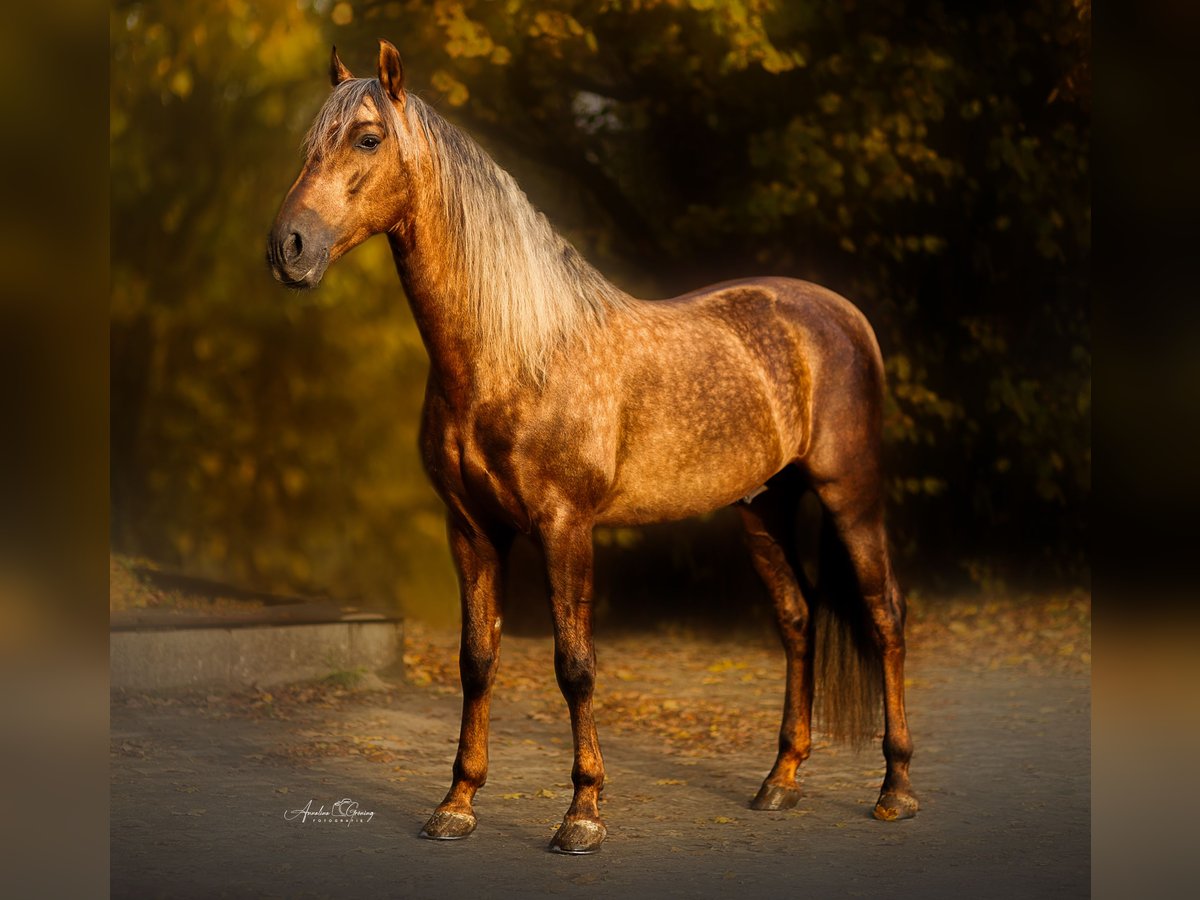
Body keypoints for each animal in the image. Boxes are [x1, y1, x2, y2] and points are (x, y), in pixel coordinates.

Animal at [265, 42, 916, 854]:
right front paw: (457, 803)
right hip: (763, 506)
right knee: (799, 621)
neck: (514, 354)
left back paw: (894, 789)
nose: (288, 248)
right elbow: (476, 660)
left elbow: (574, 665)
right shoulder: (471, 529)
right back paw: (781, 781)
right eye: (308, 143)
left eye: (367, 138)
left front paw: (582, 813)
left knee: (885, 617)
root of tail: (844, 314)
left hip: (849, 493)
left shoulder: (565, 525)